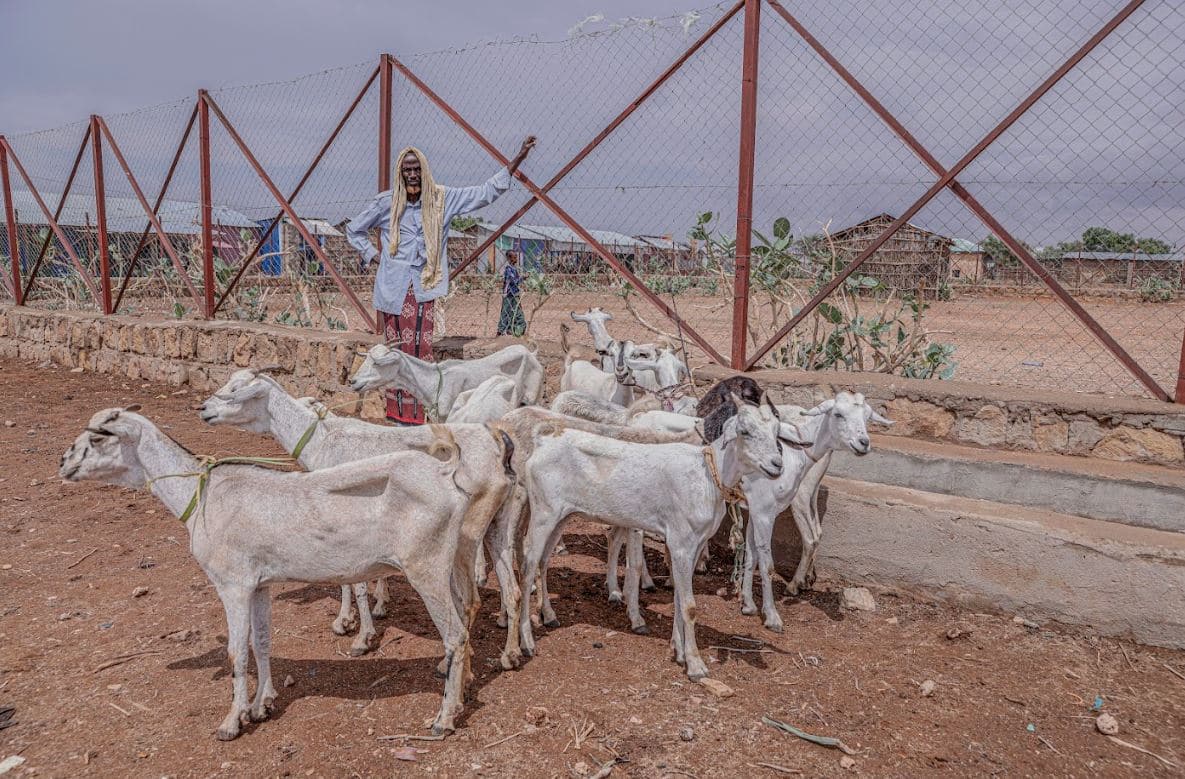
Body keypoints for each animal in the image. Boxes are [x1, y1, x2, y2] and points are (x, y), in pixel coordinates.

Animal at [60, 403, 511, 739]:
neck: (203, 495)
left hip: (425, 567)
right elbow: (261, 642)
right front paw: (262, 704)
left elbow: (237, 651)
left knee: (454, 634)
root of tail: (445, 473)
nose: (63, 462)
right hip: (450, 559)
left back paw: (443, 719)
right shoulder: (258, 585)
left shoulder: (232, 584)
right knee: (466, 614)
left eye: (99, 437)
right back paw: (461, 692)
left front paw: (232, 721)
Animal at [199, 367, 519, 663]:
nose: (204, 409)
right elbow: (348, 578)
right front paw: (352, 617)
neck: (323, 441)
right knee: (510, 583)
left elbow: (356, 583)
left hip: (469, 528)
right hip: (499, 518)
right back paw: (510, 648)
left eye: (236, 390)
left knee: (470, 597)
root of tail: (498, 444)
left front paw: (362, 635)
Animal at [519, 398, 786, 678]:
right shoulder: (680, 543)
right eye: (744, 431)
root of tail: (543, 442)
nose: (777, 464)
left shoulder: (694, 544)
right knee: (527, 566)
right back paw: (526, 641)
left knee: (543, 561)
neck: (706, 475)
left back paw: (549, 615)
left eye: (776, 430)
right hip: (543, 512)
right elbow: (689, 605)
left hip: (561, 516)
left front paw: (678, 651)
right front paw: (695, 664)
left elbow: (679, 598)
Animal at [734, 396, 891, 630]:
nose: (864, 442)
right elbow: (761, 561)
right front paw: (767, 614)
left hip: (805, 494)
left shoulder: (759, 509)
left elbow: (755, 557)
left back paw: (798, 583)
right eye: (838, 414)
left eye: (867, 417)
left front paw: (754, 607)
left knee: (812, 536)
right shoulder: (761, 510)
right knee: (813, 535)